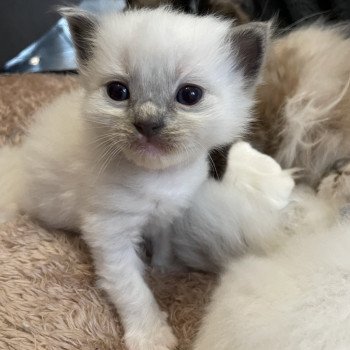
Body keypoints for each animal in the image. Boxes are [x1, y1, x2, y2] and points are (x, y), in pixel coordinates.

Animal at [0, 6, 270, 350]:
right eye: (118, 92)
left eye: (189, 95)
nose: (147, 124)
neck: (159, 178)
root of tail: (17, 161)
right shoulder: (110, 233)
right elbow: (133, 290)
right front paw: (152, 335)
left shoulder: (169, 213)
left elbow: (164, 242)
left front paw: (166, 268)